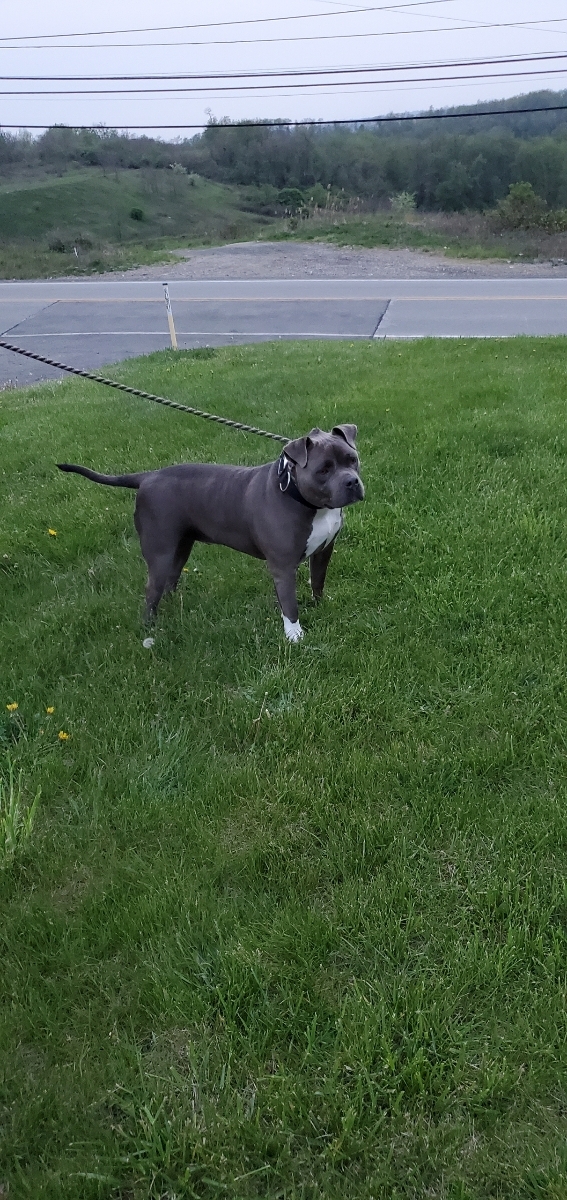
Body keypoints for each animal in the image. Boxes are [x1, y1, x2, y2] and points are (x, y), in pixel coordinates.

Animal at [57, 424, 362, 643]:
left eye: (353, 460)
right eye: (324, 470)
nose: (352, 482)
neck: (304, 499)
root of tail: (148, 477)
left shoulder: (324, 551)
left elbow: (318, 581)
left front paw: (319, 606)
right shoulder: (283, 566)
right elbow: (289, 604)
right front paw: (295, 635)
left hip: (181, 547)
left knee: (170, 580)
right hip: (160, 551)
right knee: (152, 589)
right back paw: (150, 629)